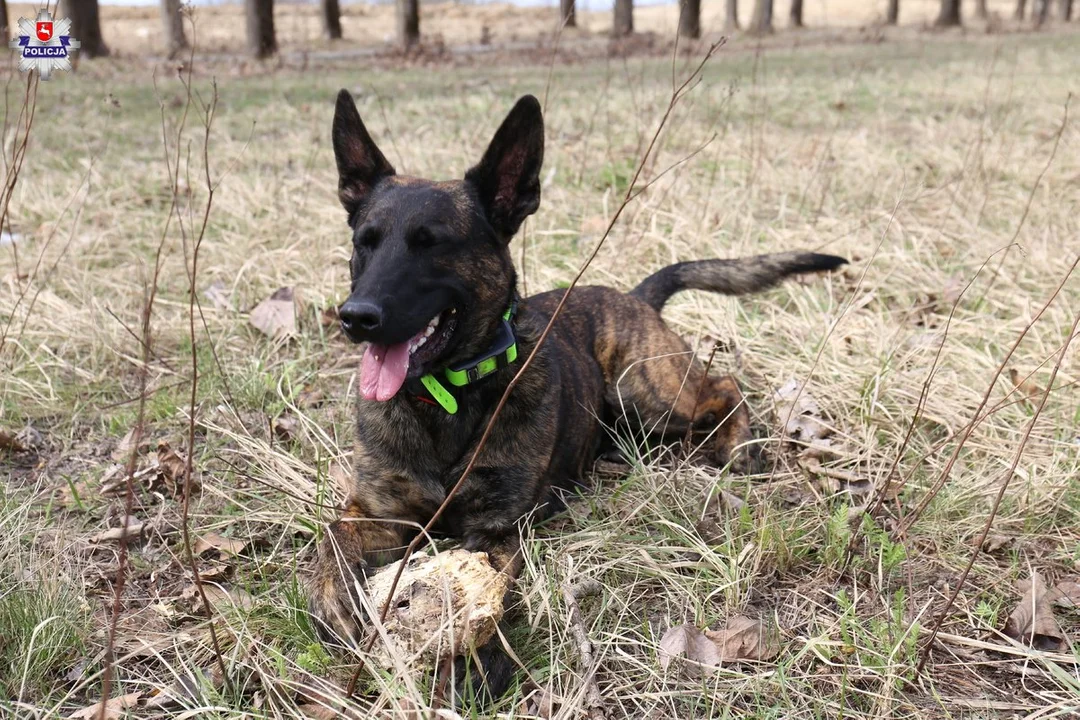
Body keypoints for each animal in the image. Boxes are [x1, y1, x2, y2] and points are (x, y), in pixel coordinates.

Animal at [304, 91, 842, 703]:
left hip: (645, 391)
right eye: (363, 243)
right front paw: (335, 603)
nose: (356, 317)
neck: (445, 400)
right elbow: (331, 538)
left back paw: (740, 447)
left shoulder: (497, 529)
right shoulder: (376, 511)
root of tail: (634, 295)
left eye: (432, 244)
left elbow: (479, 589)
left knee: (723, 387)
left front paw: (471, 661)